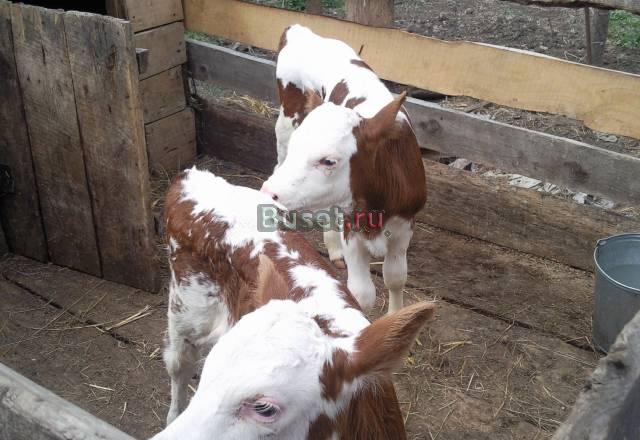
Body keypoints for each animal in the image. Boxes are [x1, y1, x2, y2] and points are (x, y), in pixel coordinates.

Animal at [261, 25, 427, 314]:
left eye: (329, 161)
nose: (268, 192)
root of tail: (300, 30)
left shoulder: (405, 223)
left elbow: (395, 277)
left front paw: (396, 314)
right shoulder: (351, 226)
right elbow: (362, 294)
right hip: (286, 121)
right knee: (278, 160)